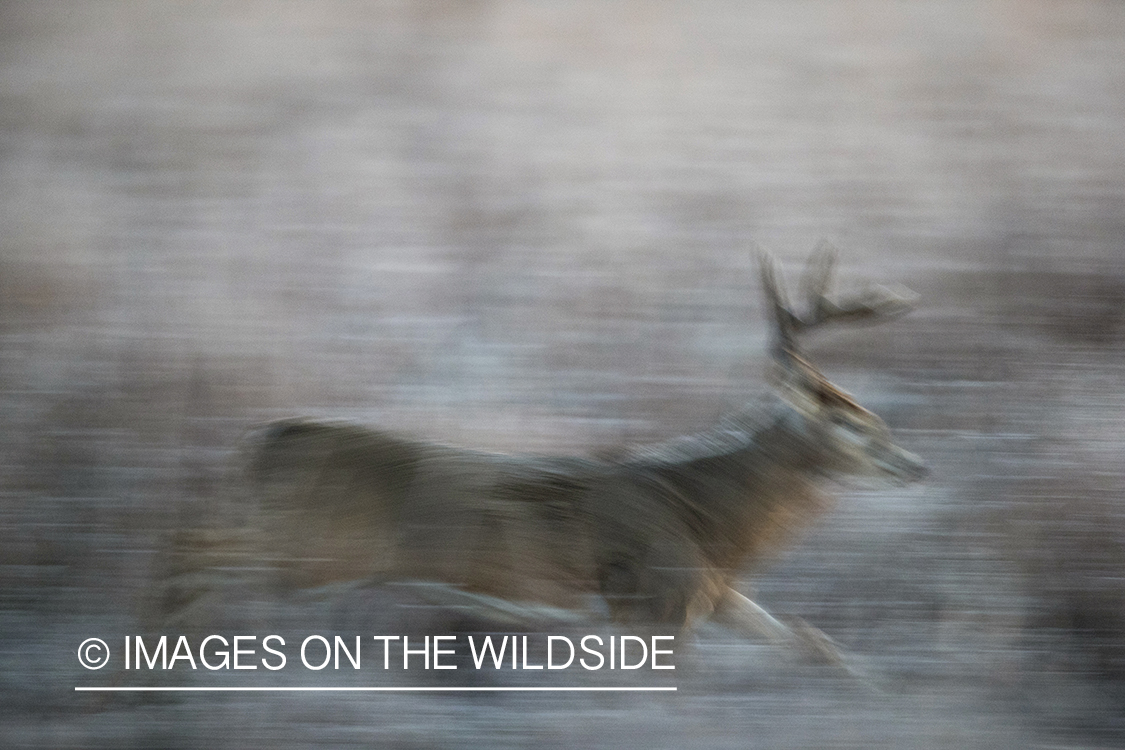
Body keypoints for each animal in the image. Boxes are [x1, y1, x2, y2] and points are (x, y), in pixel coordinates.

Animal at [160, 249, 931, 670]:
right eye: (850, 421)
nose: (916, 465)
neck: (709, 517)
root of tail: (269, 437)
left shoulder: (709, 595)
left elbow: (812, 643)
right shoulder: (652, 601)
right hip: (315, 545)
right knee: (193, 546)